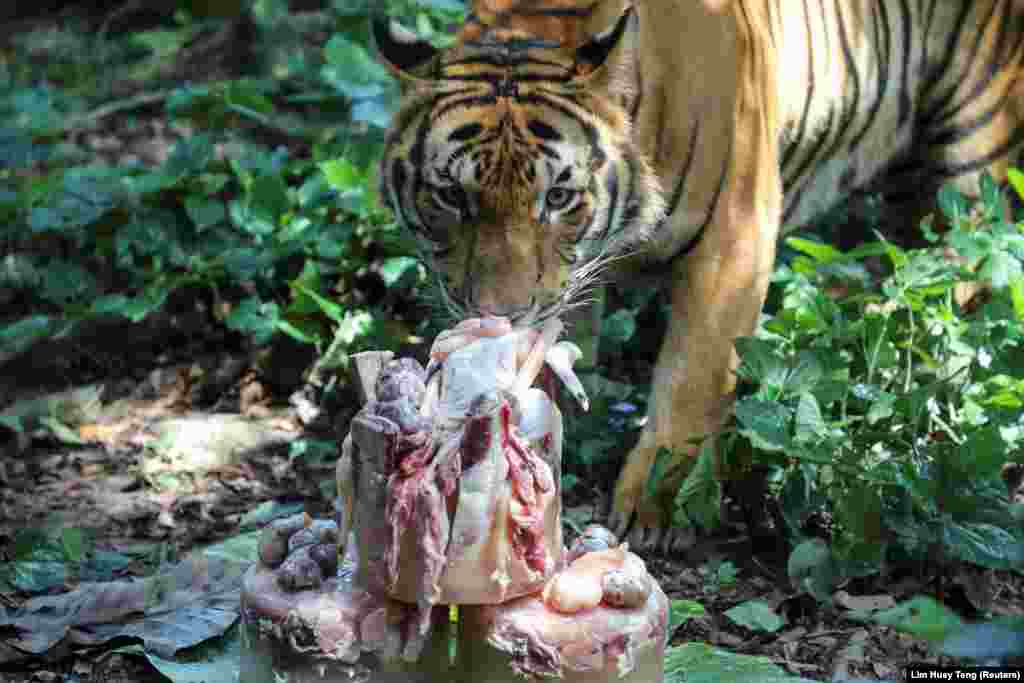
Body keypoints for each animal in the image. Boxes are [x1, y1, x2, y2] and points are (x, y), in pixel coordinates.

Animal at [372, 0, 1024, 552]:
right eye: (451, 196)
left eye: (558, 197)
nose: (500, 314)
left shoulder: (734, 239)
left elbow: (692, 380)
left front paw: (653, 507)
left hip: (981, 156)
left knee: (964, 278)